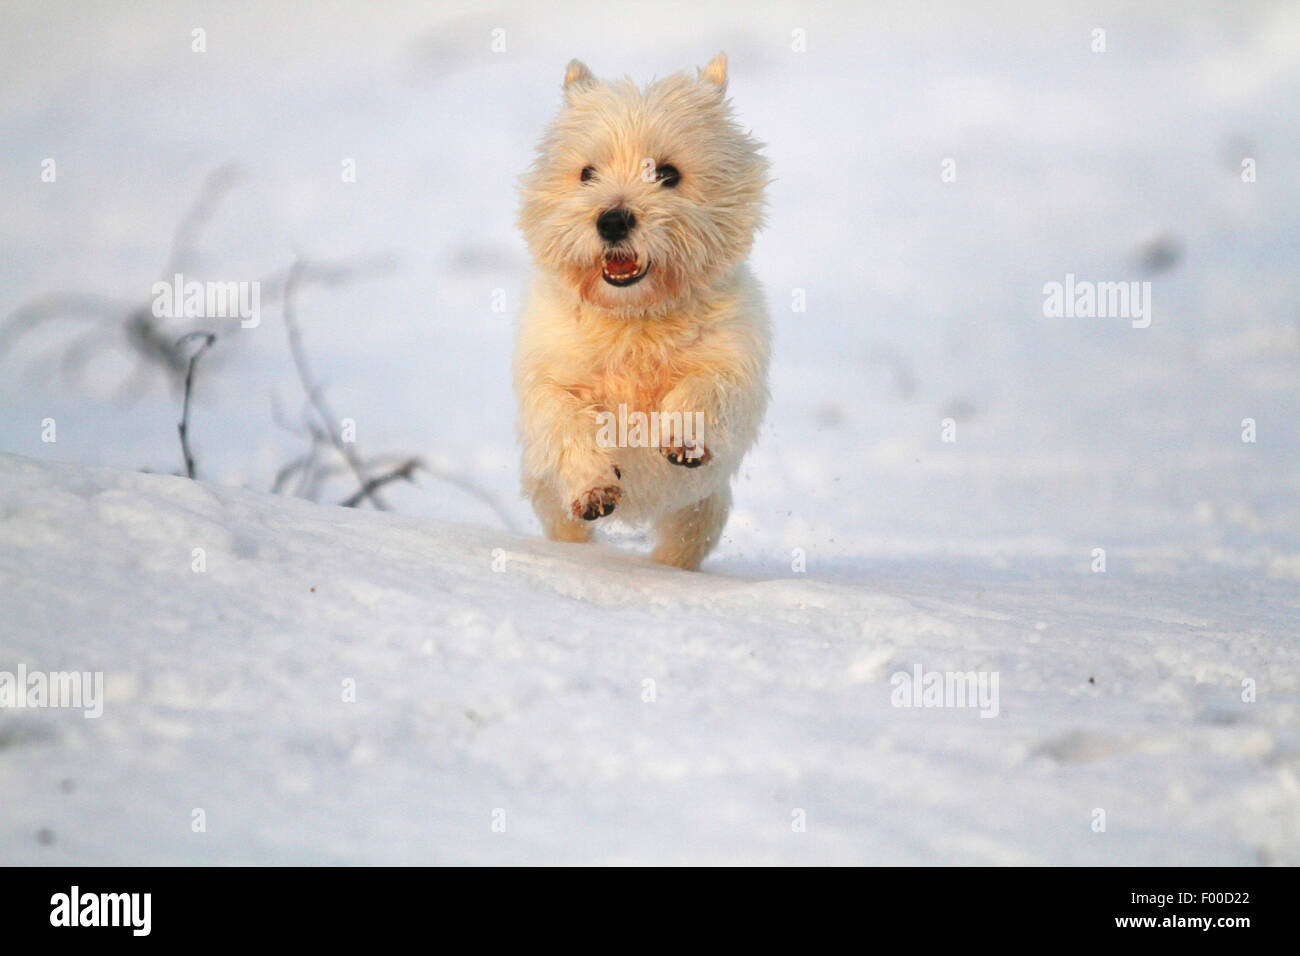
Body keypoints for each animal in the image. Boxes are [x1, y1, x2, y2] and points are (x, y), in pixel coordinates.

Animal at [509, 54, 769, 567]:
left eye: (668, 173)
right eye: (586, 173)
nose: (612, 220)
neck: (635, 319)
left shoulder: (734, 357)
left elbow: (709, 386)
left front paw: (683, 439)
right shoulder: (551, 371)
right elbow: (564, 417)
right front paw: (595, 489)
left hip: (703, 507)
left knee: (685, 540)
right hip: (546, 496)